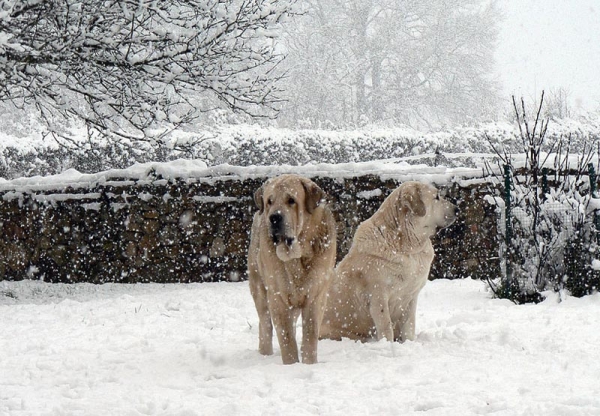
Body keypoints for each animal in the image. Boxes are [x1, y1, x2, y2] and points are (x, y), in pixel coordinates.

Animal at [246, 174, 336, 362]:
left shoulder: (316, 296)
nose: (274, 217)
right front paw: (291, 364)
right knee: (265, 325)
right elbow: (285, 337)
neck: (296, 257)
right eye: (270, 201)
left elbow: (310, 335)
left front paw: (309, 363)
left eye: (291, 200)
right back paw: (265, 354)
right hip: (259, 289)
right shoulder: (277, 297)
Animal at [322, 181, 458, 342]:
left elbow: (409, 325)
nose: (457, 209)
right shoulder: (378, 296)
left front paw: (409, 343)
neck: (406, 247)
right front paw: (388, 344)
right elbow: (386, 326)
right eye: (436, 197)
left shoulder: (411, 296)